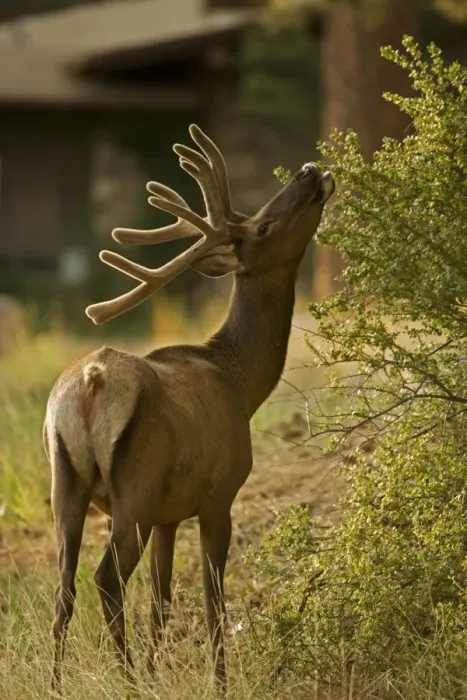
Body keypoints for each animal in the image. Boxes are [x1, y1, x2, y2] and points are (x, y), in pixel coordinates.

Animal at [43, 124, 335, 692]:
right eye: (264, 225)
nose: (310, 171)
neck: (242, 383)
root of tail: (91, 381)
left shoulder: (168, 514)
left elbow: (161, 602)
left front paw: (162, 672)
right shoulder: (218, 494)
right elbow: (212, 602)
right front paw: (218, 684)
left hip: (65, 476)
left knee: (64, 587)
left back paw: (58, 685)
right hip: (134, 483)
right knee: (106, 578)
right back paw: (128, 681)